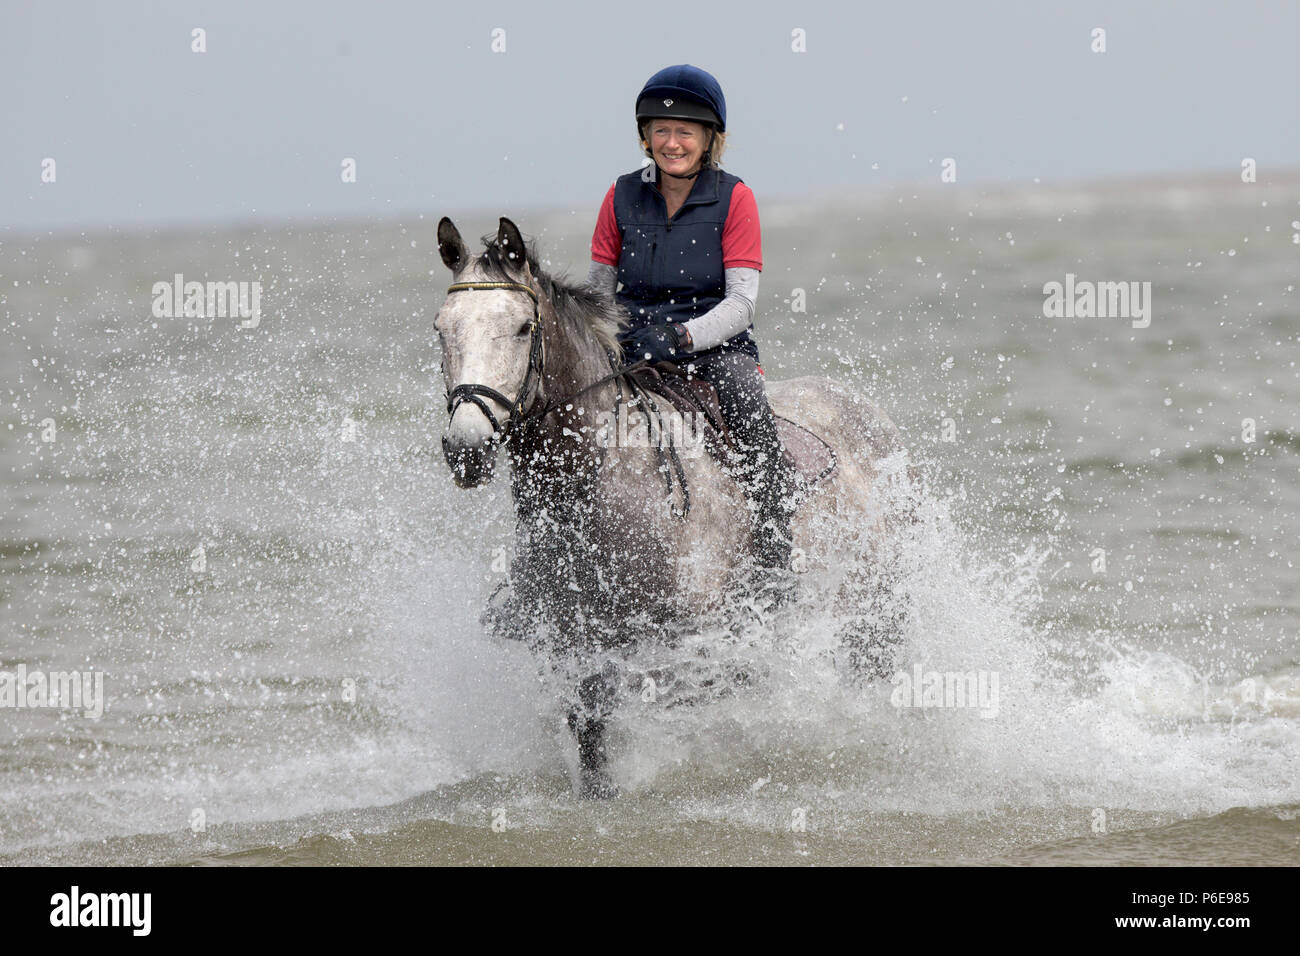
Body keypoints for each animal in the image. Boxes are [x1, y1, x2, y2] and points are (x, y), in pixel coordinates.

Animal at [436, 217, 915, 801]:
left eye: (525, 328)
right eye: (442, 329)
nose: (467, 448)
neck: (600, 485)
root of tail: (868, 412)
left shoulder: (690, 639)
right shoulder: (573, 644)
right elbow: (590, 727)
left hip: (876, 611)